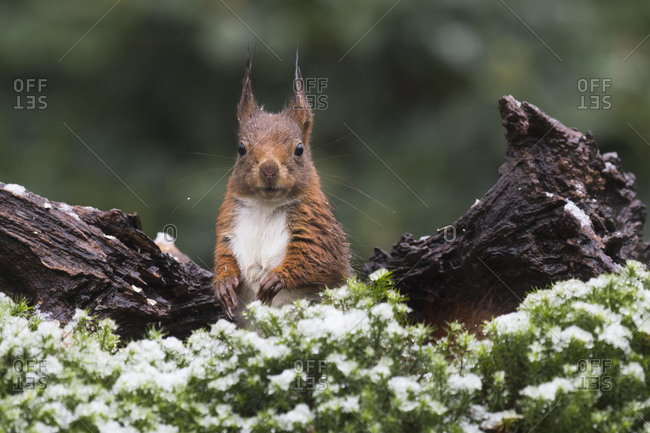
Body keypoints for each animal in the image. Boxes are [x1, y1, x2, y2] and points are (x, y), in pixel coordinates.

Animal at [213, 54, 351, 321]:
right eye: (241, 148)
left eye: (299, 149)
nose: (269, 169)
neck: (265, 207)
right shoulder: (228, 225)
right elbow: (223, 255)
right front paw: (222, 283)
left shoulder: (318, 229)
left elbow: (317, 258)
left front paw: (278, 278)